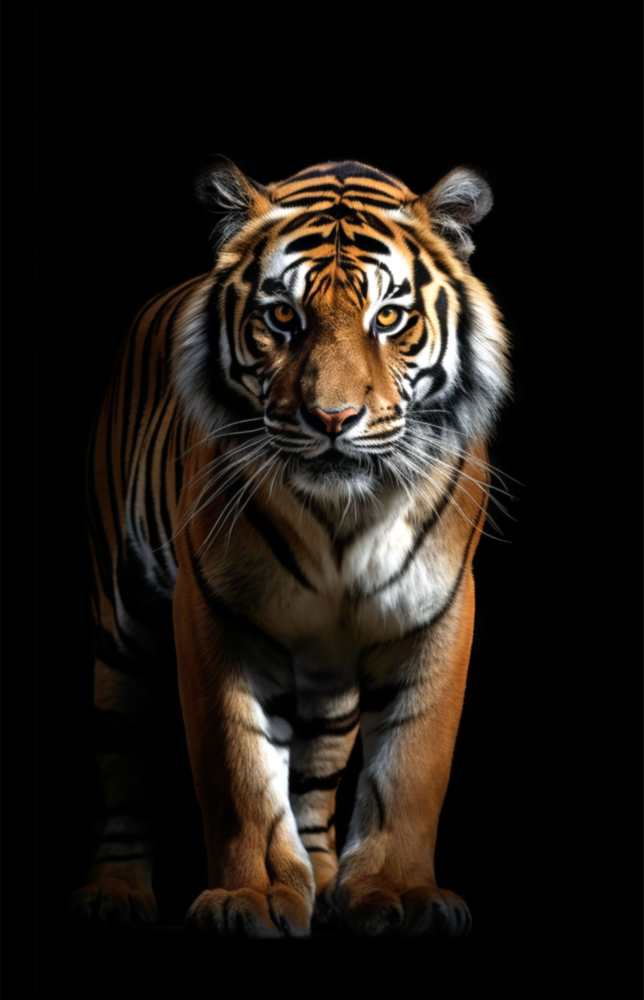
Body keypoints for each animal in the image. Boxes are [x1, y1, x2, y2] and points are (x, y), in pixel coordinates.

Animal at [70, 157, 510, 938]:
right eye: (282, 317)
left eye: (389, 318)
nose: (333, 418)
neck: (345, 517)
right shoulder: (213, 610)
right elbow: (237, 766)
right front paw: (251, 897)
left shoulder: (437, 608)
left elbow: (412, 764)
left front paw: (399, 894)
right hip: (121, 624)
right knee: (123, 763)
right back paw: (115, 895)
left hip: (328, 671)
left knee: (316, 771)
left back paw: (325, 881)